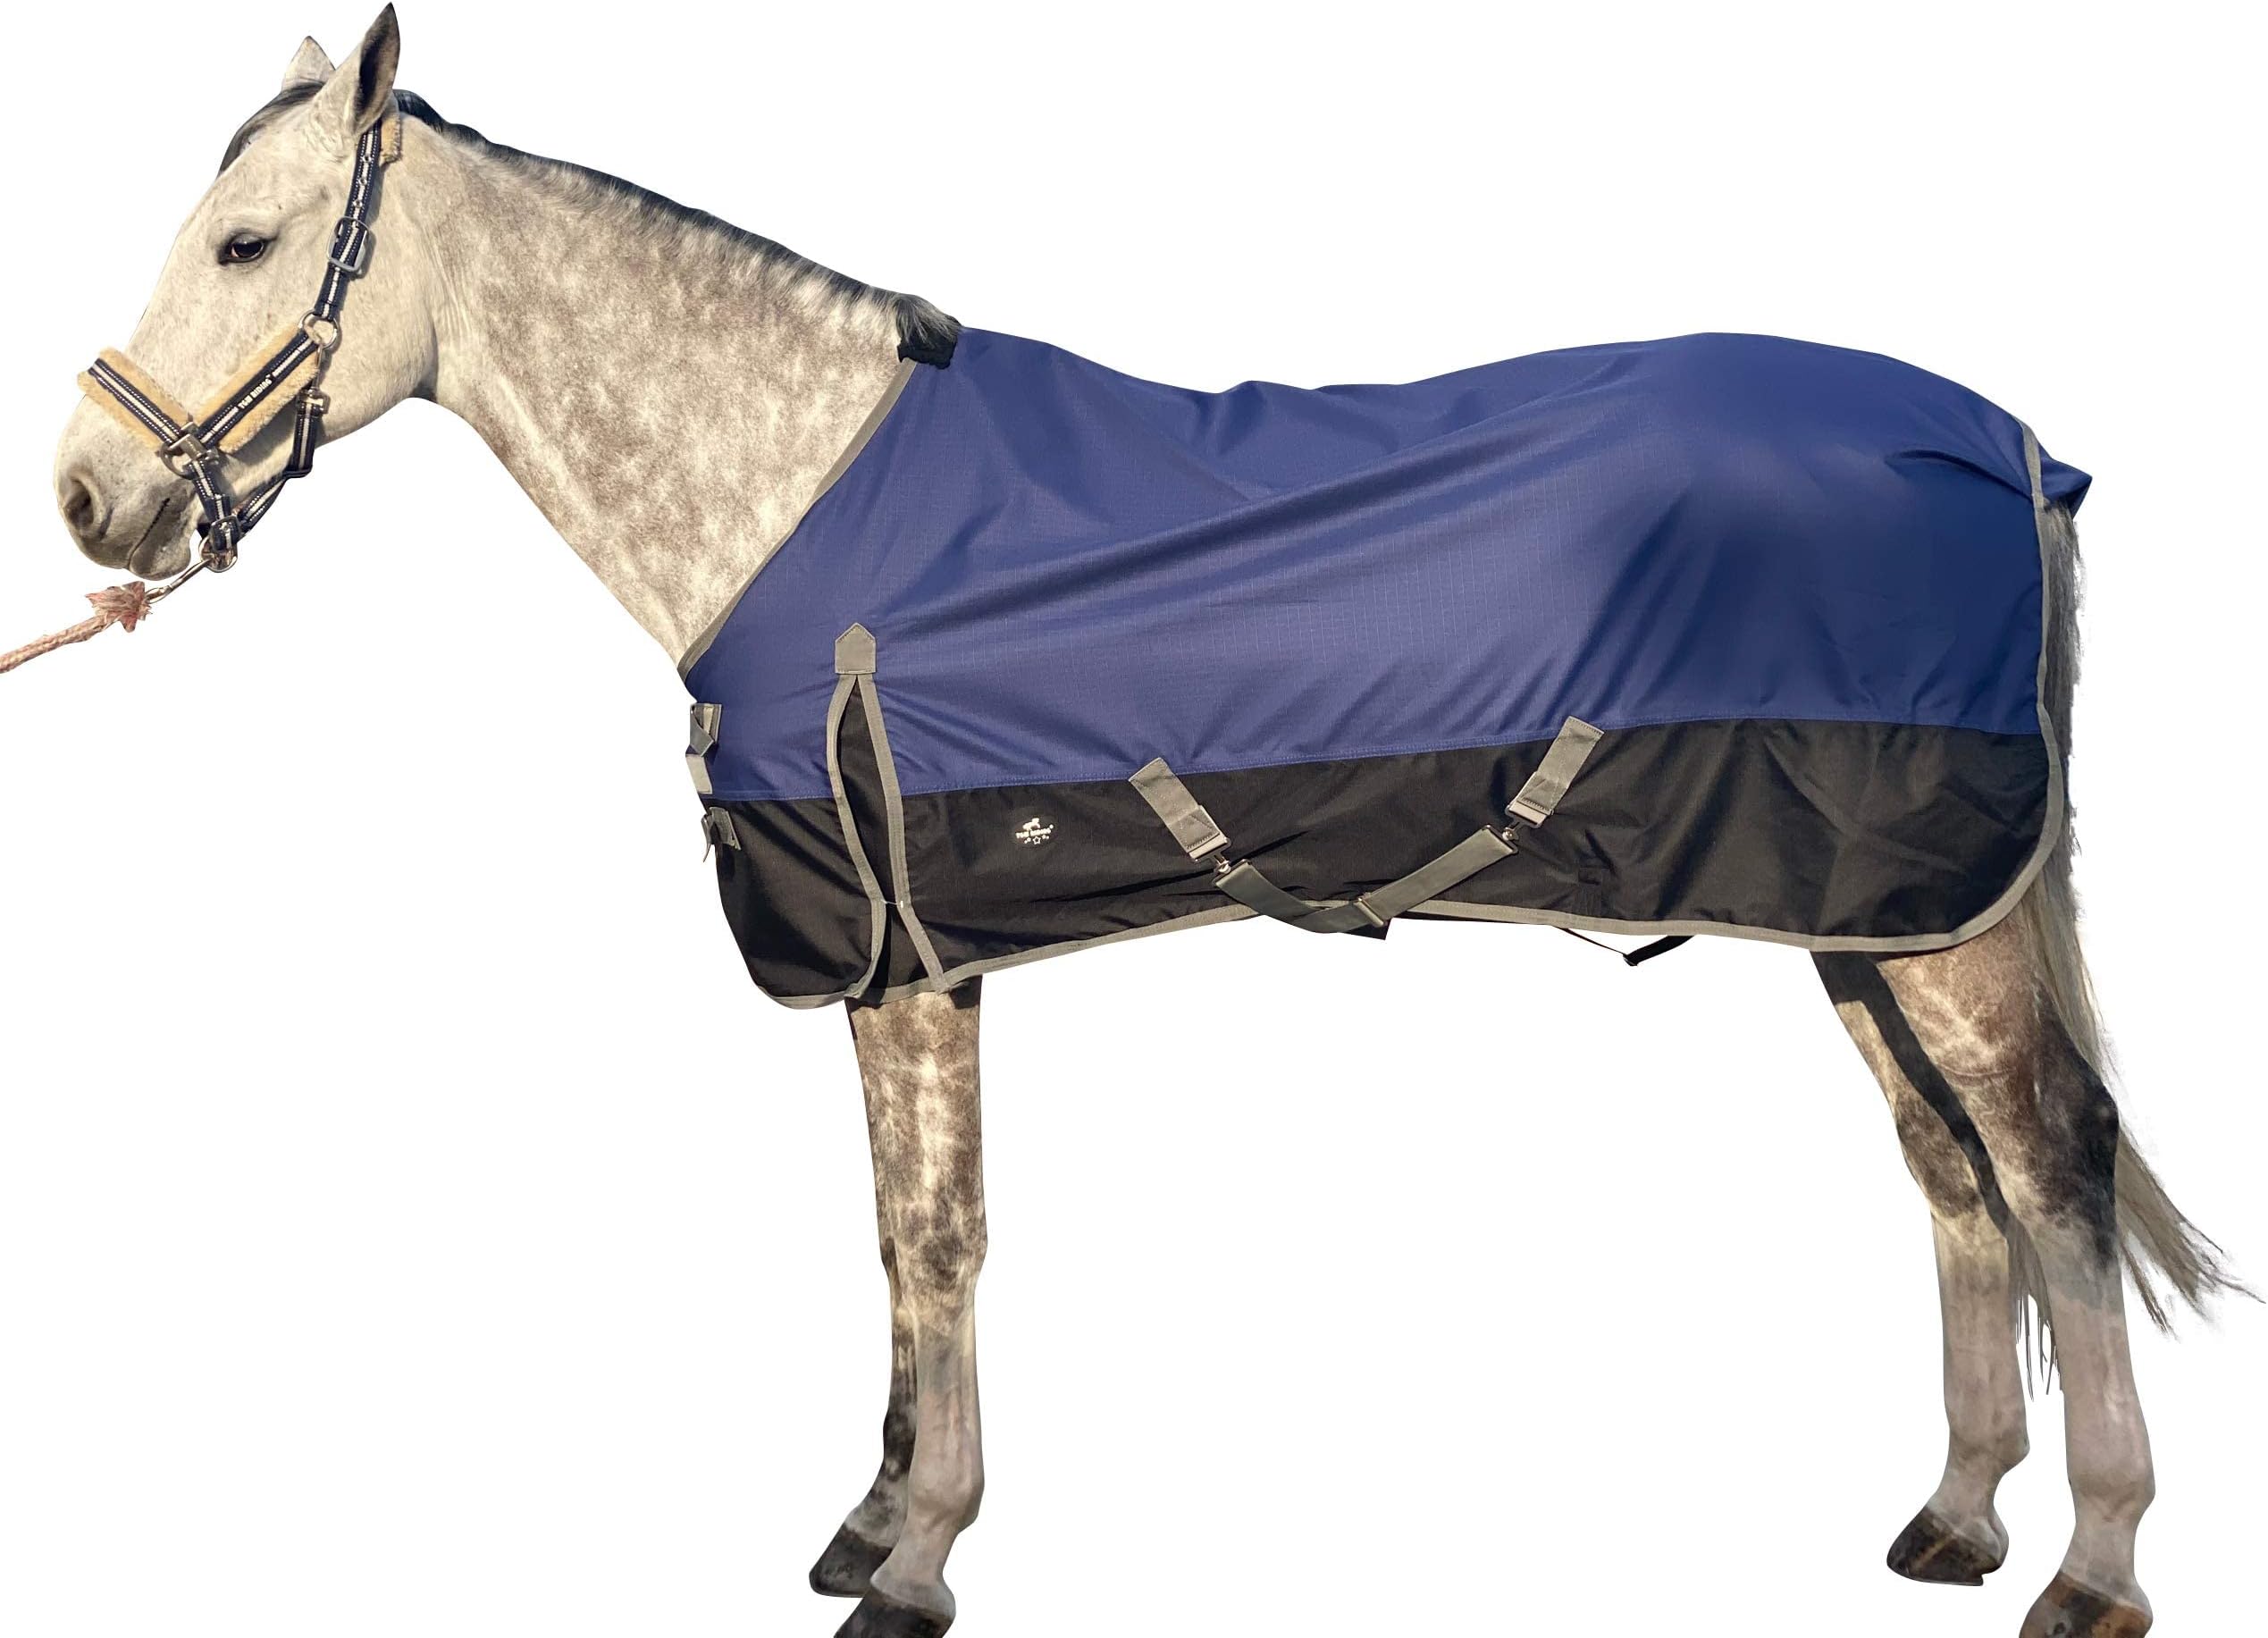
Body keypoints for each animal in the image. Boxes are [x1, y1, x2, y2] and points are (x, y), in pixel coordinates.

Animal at [47, 12, 2239, 1637]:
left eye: (245, 243)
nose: (84, 496)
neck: (805, 495)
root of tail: (2011, 446)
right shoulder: (894, 957)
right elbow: (890, 1233)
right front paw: (869, 1519)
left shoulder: (913, 956)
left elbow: (941, 1235)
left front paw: (920, 1558)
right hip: (1866, 915)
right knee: (1951, 1176)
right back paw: (1958, 1515)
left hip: (1941, 924)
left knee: (2050, 1165)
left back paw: (2093, 1564)